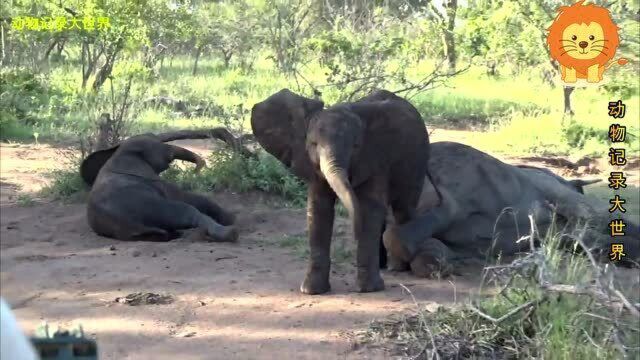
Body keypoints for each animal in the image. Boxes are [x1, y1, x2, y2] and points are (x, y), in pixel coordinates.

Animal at [80, 128, 240, 243]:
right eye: (157, 142)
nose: (196, 170)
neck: (118, 154)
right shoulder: (153, 180)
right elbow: (189, 197)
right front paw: (231, 218)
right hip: (149, 207)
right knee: (186, 211)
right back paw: (230, 233)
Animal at [250, 88, 430, 294]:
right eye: (313, 144)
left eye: (355, 146)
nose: (354, 232)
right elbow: (319, 210)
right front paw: (311, 291)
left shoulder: (376, 159)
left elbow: (369, 209)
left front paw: (369, 290)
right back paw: (384, 266)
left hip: (418, 161)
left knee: (404, 208)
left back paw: (400, 268)